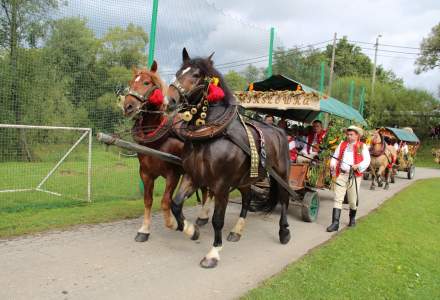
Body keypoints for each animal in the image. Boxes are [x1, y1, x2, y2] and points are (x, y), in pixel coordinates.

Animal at [120, 61, 210, 241]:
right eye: (131, 82)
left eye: (146, 83)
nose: (128, 106)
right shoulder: (145, 173)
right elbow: (148, 200)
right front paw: (144, 230)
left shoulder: (172, 174)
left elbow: (165, 202)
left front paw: (176, 224)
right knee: (205, 191)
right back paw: (202, 217)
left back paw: (204, 215)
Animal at [167, 49, 290, 270]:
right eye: (179, 72)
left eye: (196, 75)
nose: (170, 99)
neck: (209, 135)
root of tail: (279, 130)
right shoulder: (193, 176)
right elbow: (176, 204)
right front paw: (192, 230)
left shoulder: (222, 185)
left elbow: (217, 219)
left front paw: (213, 253)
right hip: (245, 179)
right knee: (247, 198)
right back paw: (237, 231)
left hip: (281, 175)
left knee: (284, 200)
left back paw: (284, 232)